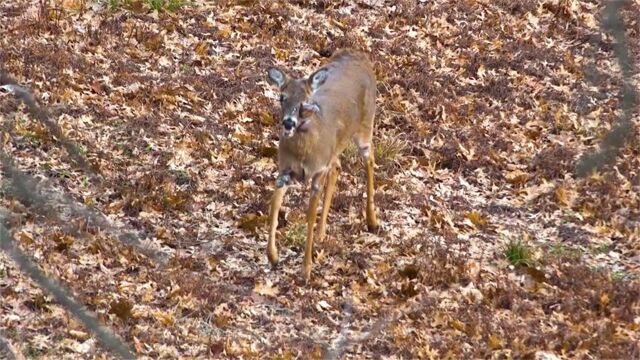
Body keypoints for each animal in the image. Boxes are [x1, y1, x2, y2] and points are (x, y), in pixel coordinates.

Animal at [266, 49, 380, 282]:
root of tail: (360, 56)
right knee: (338, 166)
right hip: (335, 149)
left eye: (306, 101)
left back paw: (372, 221)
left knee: (370, 159)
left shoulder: (317, 173)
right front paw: (273, 256)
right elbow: (274, 203)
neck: (303, 151)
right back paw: (321, 233)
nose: (288, 123)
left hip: (366, 125)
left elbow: (309, 215)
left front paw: (306, 270)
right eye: (282, 97)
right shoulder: (284, 170)